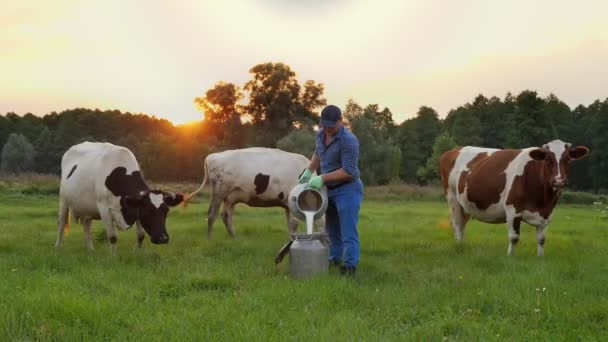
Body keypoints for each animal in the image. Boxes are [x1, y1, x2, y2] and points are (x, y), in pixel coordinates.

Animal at [55, 142, 184, 254]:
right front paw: (114, 257)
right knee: (62, 223)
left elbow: (141, 235)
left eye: (166, 211)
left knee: (86, 226)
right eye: (148, 211)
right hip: (63, 201)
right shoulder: (104, 208)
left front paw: (136, 253)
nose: (163, 238)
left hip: (87, 207)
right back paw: (58, 247)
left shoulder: (136, 206)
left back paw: (90, 250)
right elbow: (113, 237)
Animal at [186, 147, 326, 238]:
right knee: (211, 215)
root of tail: (212, 156)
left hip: (230, 197)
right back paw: (210, 238)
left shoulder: (287, 204)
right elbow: (294, 223)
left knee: (226, 215)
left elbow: (290, 224)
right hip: (219, 191)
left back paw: (234, 237)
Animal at [440, 138, 592, 254]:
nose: (559, 180)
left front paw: (540, 258)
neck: (542, 199)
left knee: (462, 224)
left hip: (465, 205)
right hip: (452, 199)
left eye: (568, 159)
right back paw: (459, 246)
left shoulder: (547, 214)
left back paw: (461, 245)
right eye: (548, 160)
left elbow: (541, 239)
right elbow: (514, 237)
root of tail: (453, 150)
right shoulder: (513, 210)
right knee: (457, 224)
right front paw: (510, 257)